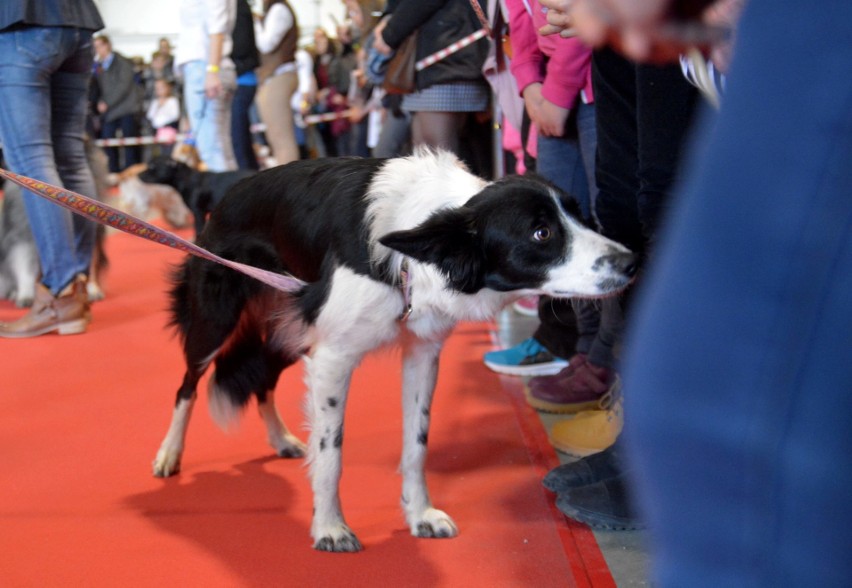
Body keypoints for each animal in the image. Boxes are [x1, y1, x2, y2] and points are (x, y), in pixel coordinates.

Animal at [150, 148, 636, 552]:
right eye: (541, 233)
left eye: (580, 216)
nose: (632, 263)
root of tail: (226, 195)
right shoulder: (332, 358)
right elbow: (331, 452)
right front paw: (329, 527)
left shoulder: (422, 353)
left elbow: (416, 444)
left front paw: (419, 515)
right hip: (214, 321)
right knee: (187, 385)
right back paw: (169, 454)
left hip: (289, 330)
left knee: (262, 380)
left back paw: (281, 438)